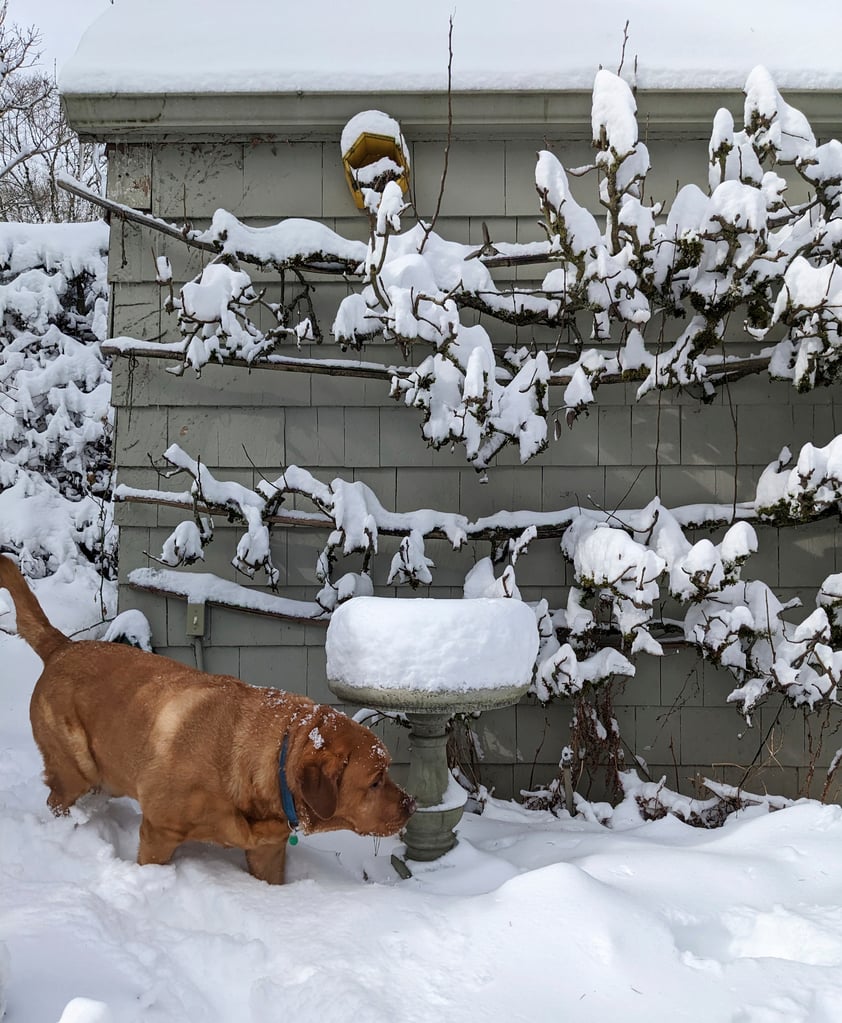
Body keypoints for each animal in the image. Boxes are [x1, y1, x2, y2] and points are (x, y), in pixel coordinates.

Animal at [0, 556, 415, 883]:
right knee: (58, 798)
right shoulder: (158, 832)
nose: (411, 804)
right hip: (75, 770)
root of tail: (62, 646)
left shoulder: (267, 852)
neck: (266, 762)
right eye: (375, 780)